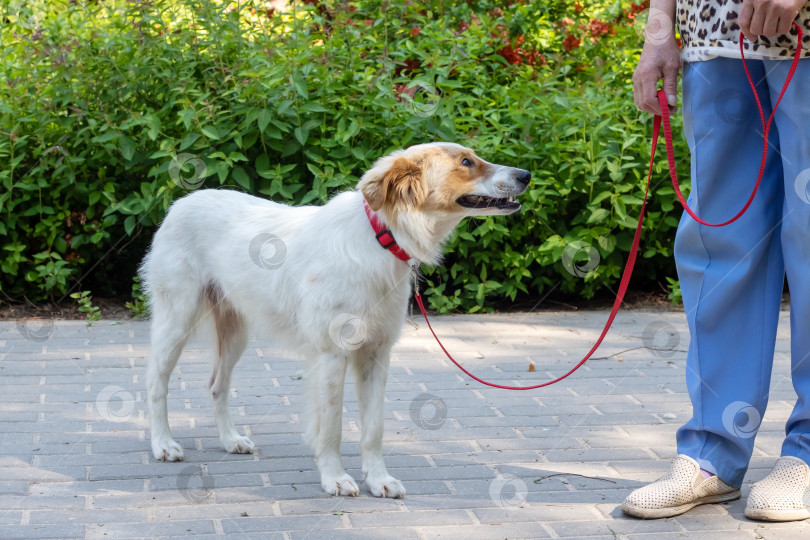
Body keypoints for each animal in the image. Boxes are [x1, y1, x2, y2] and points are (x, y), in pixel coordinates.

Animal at [142, 142, 528, 498]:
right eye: (466, 162)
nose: (526, 174)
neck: (380, 238)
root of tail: (183, 201)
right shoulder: (331, 355)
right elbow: (332, 426)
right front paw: (335, 478)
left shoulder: (377, 354)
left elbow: (373, 428)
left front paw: (378, 479)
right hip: (176, 320)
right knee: (156, 384)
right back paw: (162, 444)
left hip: (236, 332)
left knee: (216, 385)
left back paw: (230, 439)